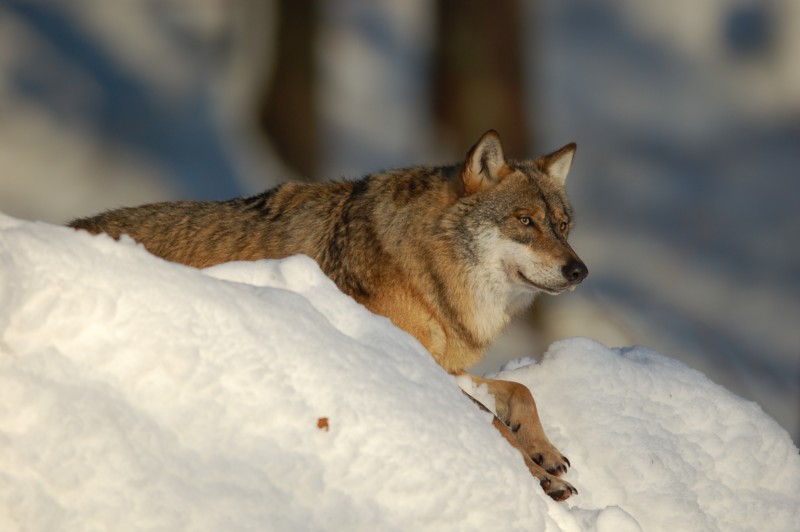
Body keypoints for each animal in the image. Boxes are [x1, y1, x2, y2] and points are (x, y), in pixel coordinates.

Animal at [70, 131, 588, 500]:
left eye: (562, 226)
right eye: (525, 221)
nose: (579, 270)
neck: (424, 268)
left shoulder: (442, 365)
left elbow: (520, 392)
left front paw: (545, 452)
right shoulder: (404, 360)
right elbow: (491, 421)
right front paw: (539, 476)